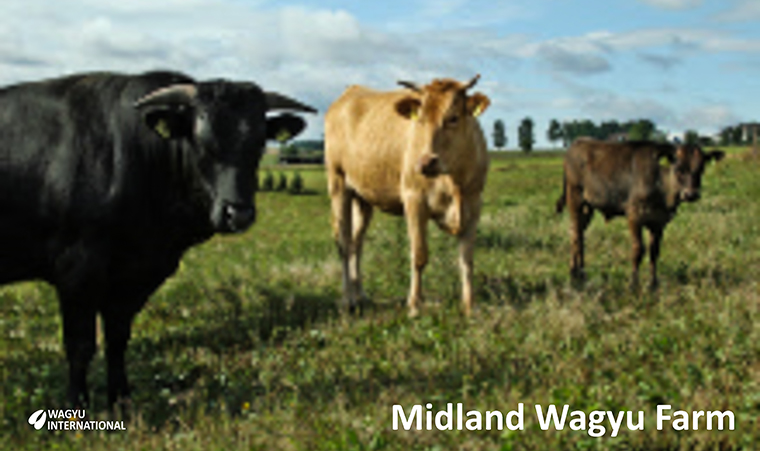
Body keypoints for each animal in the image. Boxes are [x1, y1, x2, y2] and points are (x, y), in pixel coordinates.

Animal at [0, 71, 316, 410]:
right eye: (202, 142)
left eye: (259, 144)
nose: (239, 213)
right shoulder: (76, 269)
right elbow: (80, 345)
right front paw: (76, 405)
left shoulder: (134, 274)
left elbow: (117, 337)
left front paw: (121, 400)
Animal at [324, 75, 490, 318]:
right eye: (419, 120)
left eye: (453, 118)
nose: (425, 161)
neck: (454, 182)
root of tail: (350, 91)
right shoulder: (414, 200)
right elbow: (419, 255)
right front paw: (414, 305)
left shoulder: (474, 204)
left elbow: (467, 259)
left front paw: (470, 306)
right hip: (337, 183)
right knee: (343, 243)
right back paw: (348, 300)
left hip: (363, 197)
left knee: (357, 243)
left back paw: (360, 295)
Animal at [556, 138, 728, 290]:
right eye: (678, 169)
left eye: (701, 169)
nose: (691, 194)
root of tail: (578, 143)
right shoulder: (634, 216)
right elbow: (638, 250)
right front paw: (633, 284)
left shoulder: (659, 222)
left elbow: (654, 252)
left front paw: (653, 284)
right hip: (575, 199)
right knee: (577, 237)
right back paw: (577, 274)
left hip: (588, 207)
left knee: (577, 234)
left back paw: (577, 272)